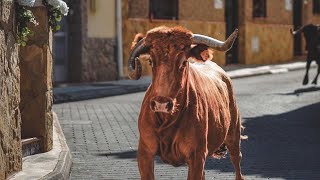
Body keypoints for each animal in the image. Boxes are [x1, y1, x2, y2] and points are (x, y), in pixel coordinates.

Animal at [127, 26, 245, 179]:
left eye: (183, 62)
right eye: (151, 62)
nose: (161, 104)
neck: (168, 121)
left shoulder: (196, 155)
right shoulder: (144, 152)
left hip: (233, 135)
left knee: (237, 161)